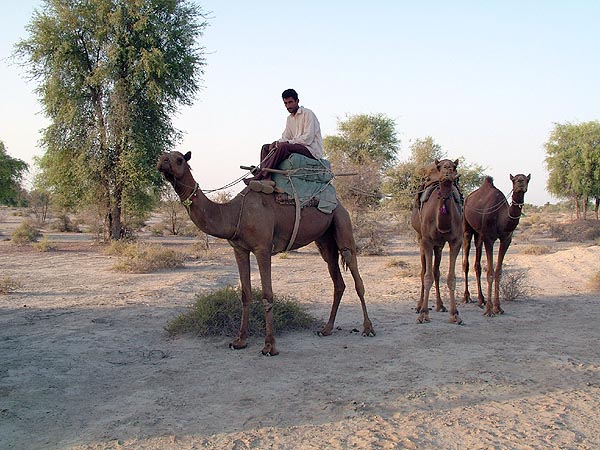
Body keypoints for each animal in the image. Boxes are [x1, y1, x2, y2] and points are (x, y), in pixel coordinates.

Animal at [158, 151, 376, 356]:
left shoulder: (262, 248)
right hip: (324, 240)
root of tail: (338, 201)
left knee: (355, 274)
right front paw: (239, 341)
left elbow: (267, 294)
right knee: (337, 279)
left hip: (342, 222)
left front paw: (269, 346)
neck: (233, 213)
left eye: (179, 159)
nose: (162, 162)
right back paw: (326, 329)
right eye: (163, 156)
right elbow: (245, 294)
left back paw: (368, 328)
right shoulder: (239, 249)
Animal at [410, 158, 462, 324]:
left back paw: (440, 305)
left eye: (454, 166)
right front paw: (423, 314)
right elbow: (427, 277)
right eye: (439, 166)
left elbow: (451, 278)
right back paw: (419, 306)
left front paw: (455, 315)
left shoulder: (455, 241)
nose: (447, 171)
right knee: (423, 272)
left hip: (439, 245)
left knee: (436, 271)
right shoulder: (426, 241)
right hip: (420, 238)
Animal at [464, 172, 528, 316]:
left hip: (479, 234)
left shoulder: (506, 239)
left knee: (477, 263)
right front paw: (489, 310)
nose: (521, 182)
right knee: (466, 261)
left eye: (527, 179)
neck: (501, 218)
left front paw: (498, 307)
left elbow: (498, 272)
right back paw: (467, 297)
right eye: (514, 180)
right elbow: (490, 273)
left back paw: (481, 300)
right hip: (467, 226)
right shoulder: (489, 238)